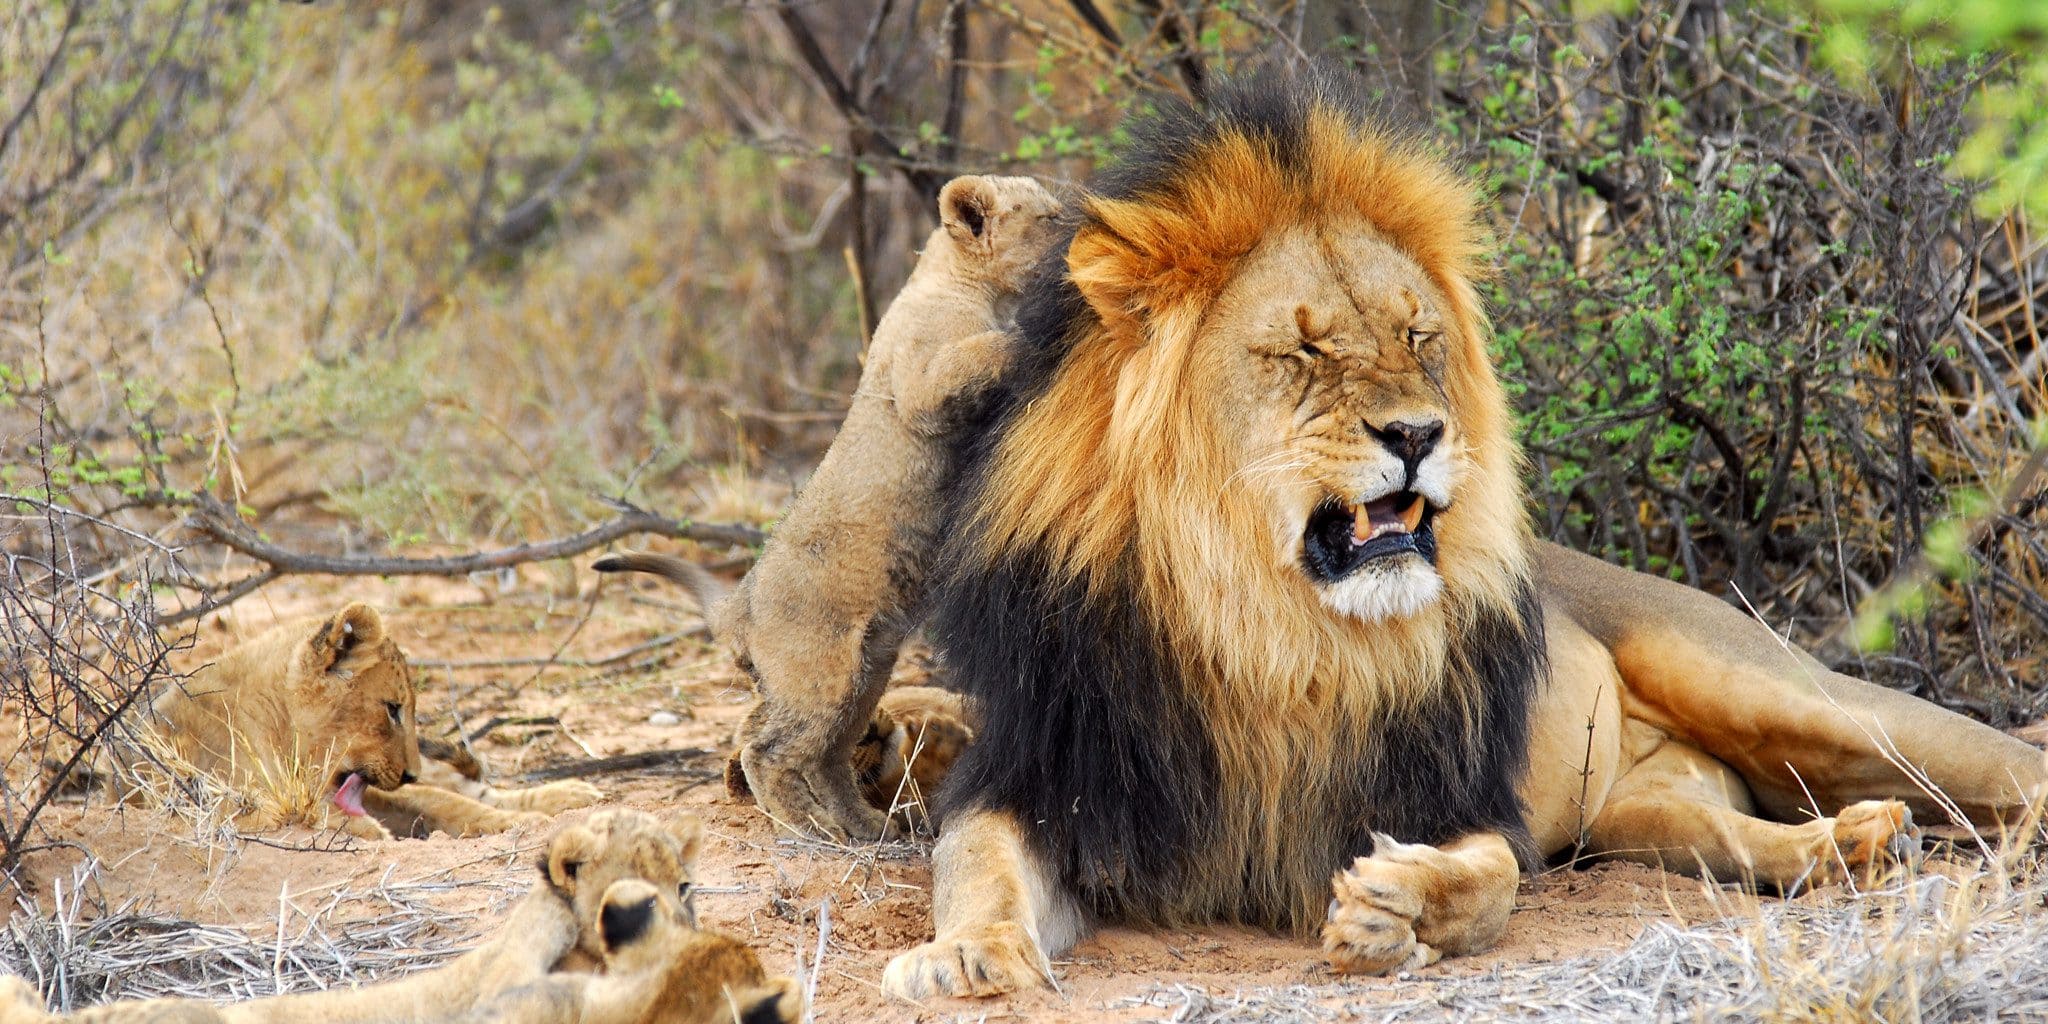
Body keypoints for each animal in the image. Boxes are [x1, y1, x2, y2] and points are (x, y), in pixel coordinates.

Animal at [105, 603, 600, 841]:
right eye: (393, 708)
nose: (410, 772)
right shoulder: (187, 797)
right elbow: (281, 814)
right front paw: (367, 831)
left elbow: (453, 805)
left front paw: (516, 823)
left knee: (473, 789)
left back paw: (574, 795)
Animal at [594, 173, 1061, 842]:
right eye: (1049, 219)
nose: (1079, 231)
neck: (969, 287)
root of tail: (738, 605)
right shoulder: (921, 377)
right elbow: (983, 354)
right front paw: (1031, 334)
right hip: (819, 669)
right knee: (767, 749)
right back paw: (809, 829)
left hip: (863, 671)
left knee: (826, 755)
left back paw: (865, 826)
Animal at [877, 68, 2048, 1000]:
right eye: (1302, 351)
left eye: (1416, 337)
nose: (1415, 432)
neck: (1270, 636)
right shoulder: (1039, 774)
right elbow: (973, 862)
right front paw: (969, 954)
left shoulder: (1457, 796)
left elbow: (1490, 874)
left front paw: (1393, 908)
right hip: (1645, 811)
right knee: (1732, 833)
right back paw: (1853, 845)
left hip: (1799, 700)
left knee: (1996, 765)